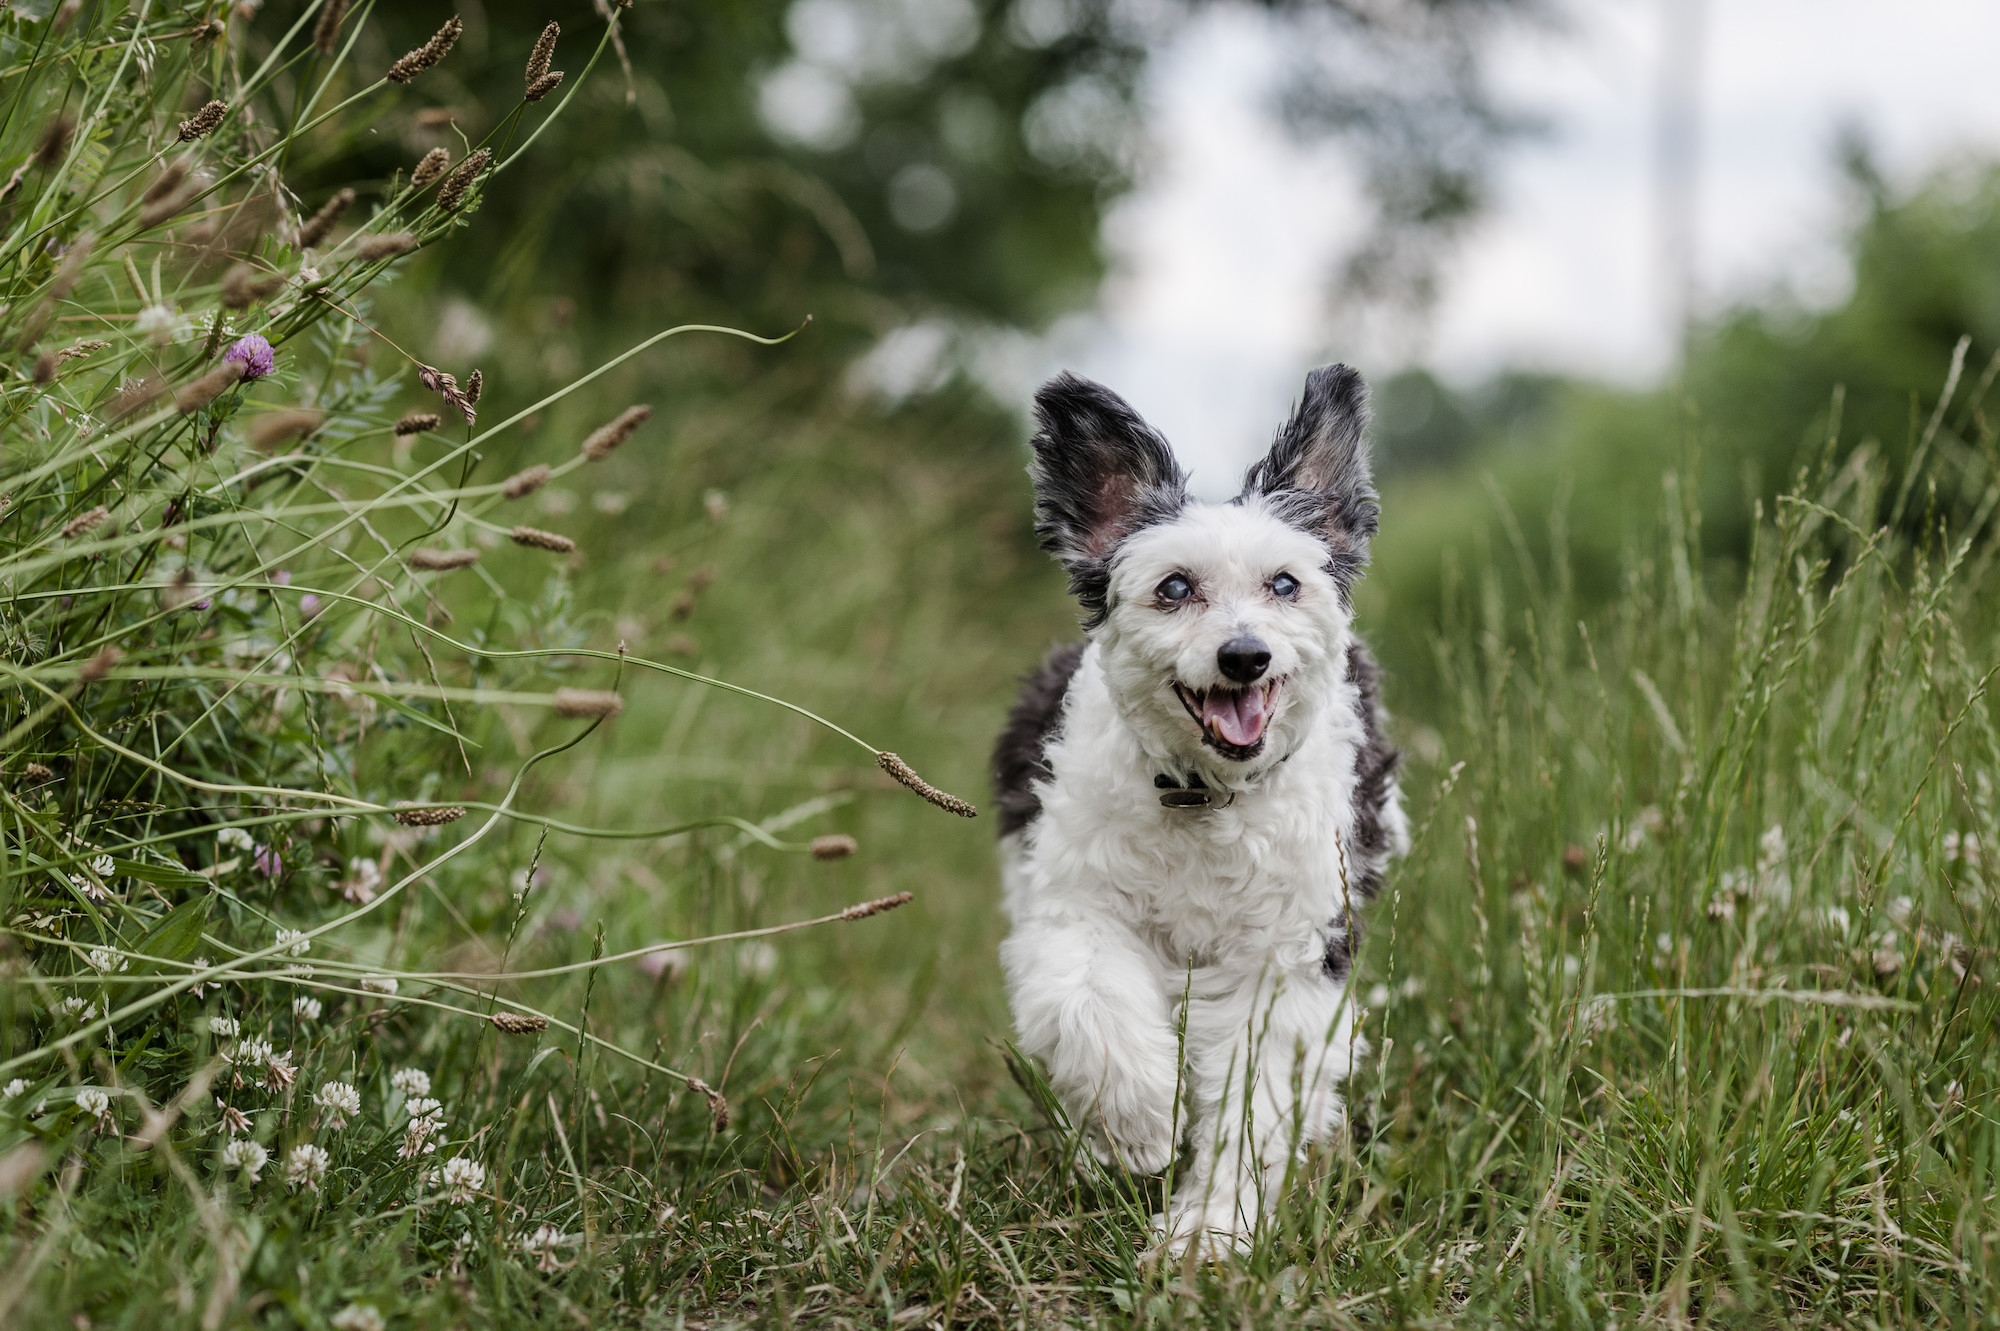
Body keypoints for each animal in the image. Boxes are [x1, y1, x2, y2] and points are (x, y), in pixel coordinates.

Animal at [996, 365, 1408, 1255]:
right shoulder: (1075, 909)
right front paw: (1139, 1125)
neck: (1205, 795)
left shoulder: (1285, 961)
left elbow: (1254, 1096)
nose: (1243, 654)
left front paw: (1210, 1232)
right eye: (1175, 586)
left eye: (1284, 582)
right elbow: (1090, 1006)